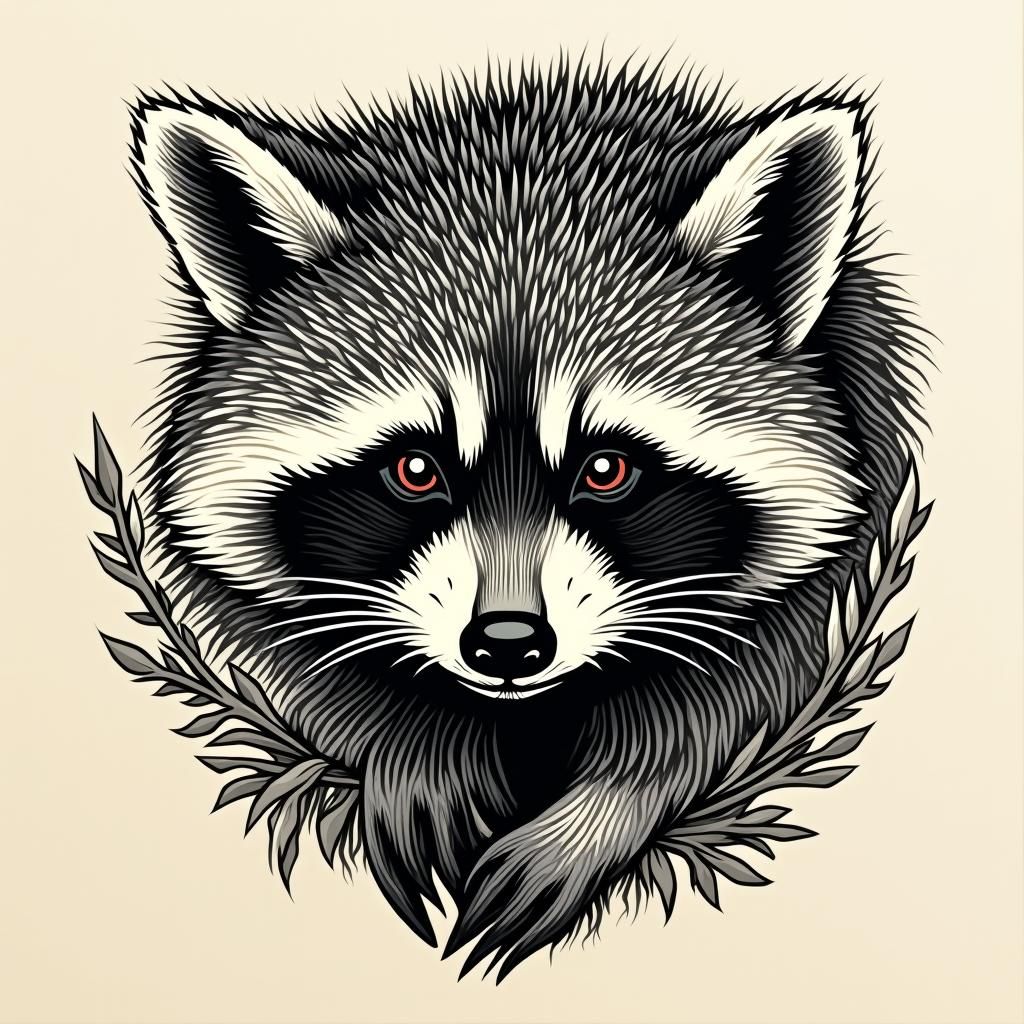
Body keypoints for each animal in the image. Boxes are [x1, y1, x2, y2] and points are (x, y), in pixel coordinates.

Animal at [128, 59, 926, 977]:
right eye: (416, 469)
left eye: (606, 469)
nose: (507, 644)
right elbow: (333, 675)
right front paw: (416, 755)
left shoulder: (822, 569)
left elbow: (718, 708)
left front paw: (599, 814)